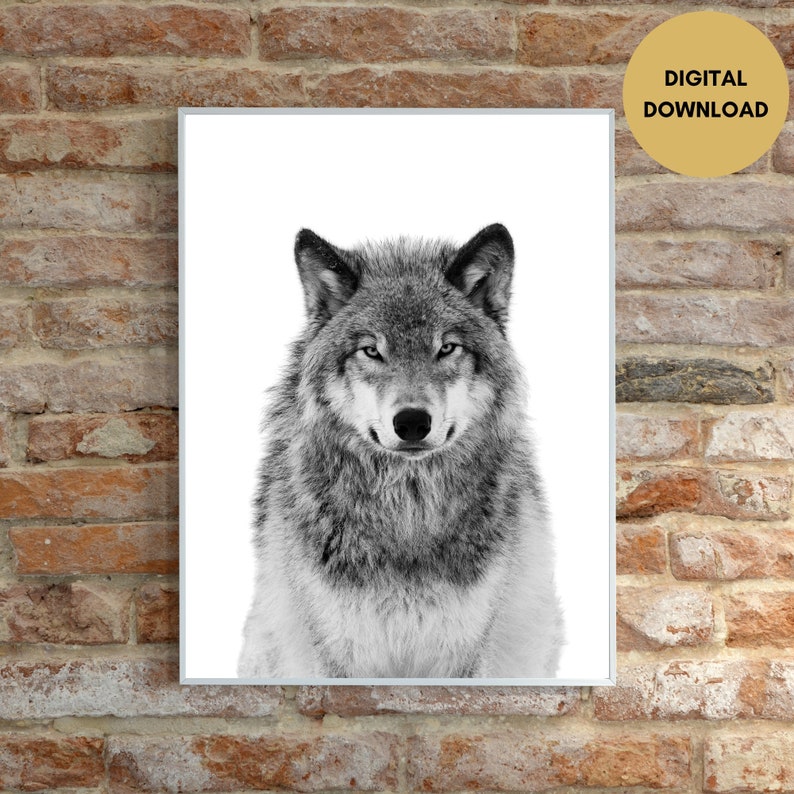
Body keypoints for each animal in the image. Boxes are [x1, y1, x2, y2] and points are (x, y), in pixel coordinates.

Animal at [238, 223, 563, 679]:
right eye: (372, 350)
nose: (411, 422)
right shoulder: (337, 649)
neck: (407, 515)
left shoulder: (464, 649)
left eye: (446, 348)